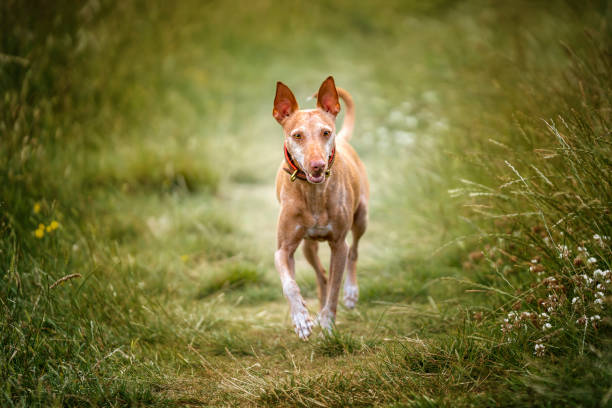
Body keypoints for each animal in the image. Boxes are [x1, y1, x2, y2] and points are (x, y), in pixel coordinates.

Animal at [272, 75, 368, 338]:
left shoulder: (339, 245)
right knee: (322, 275)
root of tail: (343, 138)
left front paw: (327, 323)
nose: (317, 165)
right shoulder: (283, 250)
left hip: (362, 218)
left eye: (325, 132)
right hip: (307, 246)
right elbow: (289, 285)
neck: (313, 193)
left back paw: (351, 292)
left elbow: (335, 288)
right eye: (297, 135)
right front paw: (301, 318)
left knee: (354, 252)